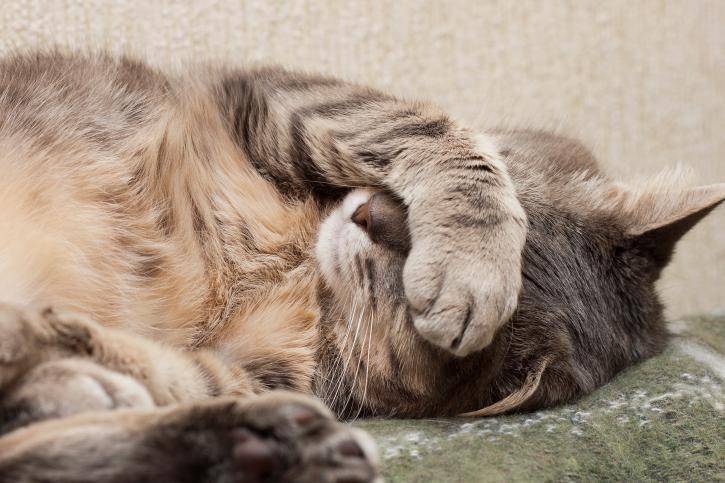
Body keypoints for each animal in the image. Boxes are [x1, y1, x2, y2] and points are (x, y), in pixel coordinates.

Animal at [0, 51, 720, 482]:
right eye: (516, 201)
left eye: (401, 299)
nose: (371, 213)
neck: (301, 266)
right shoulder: (281, 93)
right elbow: (427, 129)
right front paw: (475, 259)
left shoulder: (258, 369)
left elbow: (162, 365)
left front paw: (61, 358)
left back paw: (268, 445)